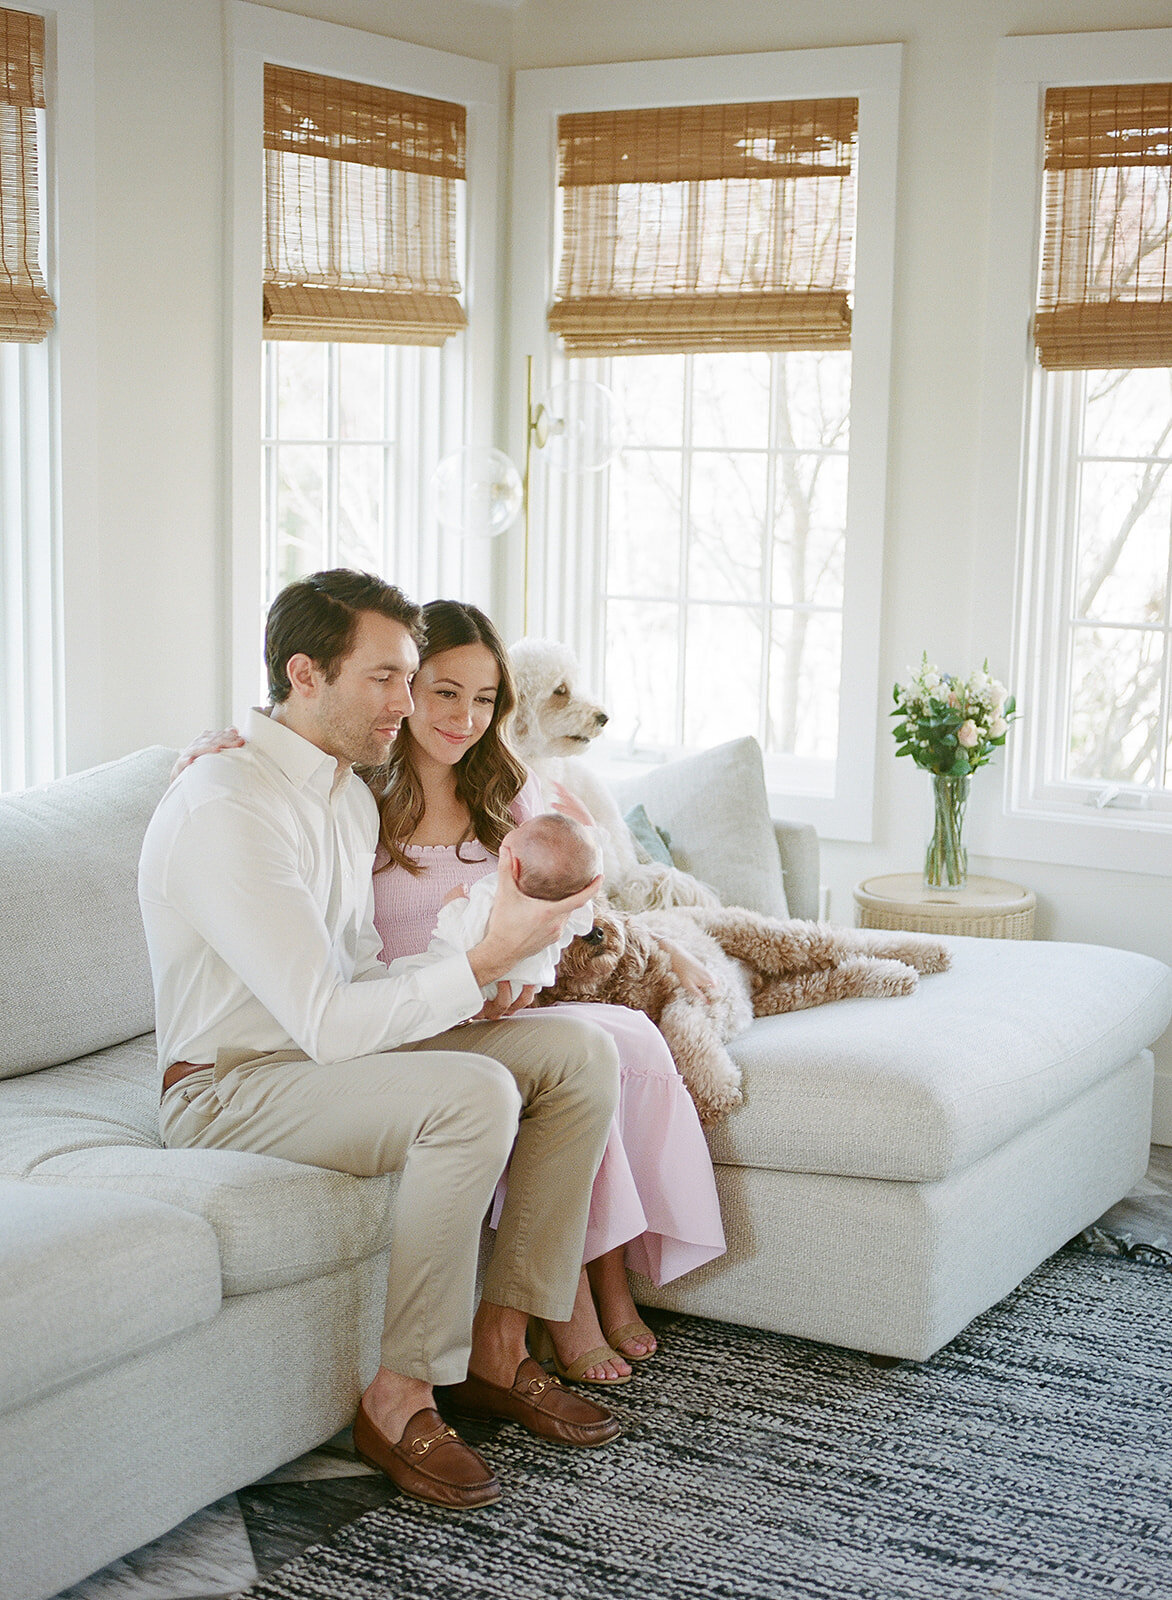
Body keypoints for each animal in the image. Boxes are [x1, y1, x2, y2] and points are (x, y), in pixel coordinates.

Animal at [541, 902, 954, 1126]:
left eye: (591, 903)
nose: (596, 932)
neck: (612, 984)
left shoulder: (692, 991)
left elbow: (679, 1029)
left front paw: (715, 1092)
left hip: (769, 937)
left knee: (847, 941)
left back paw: (927, 953)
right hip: (788, 992)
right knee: (839, 974)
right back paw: (894, 975)